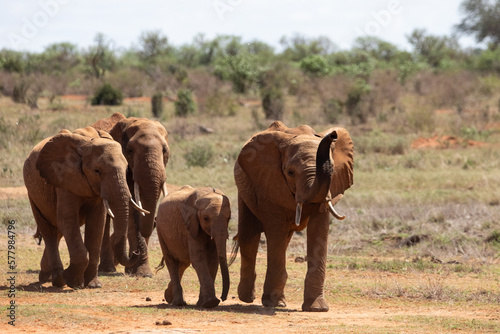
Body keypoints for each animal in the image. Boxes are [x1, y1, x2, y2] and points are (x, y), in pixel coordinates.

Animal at [23, 126, 148, 288]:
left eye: (127, 169)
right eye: (97, 171)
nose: (135, 252)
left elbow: (97, 223)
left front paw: (93, 285)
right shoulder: (64, 179)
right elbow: (68, 219)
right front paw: (74, 282)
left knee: (58, 231)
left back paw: (47, 277)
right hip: (33, 194)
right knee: (49, 231)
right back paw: (58, 280)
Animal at [93, 112, 171, 276]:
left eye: (165, 151)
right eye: (130, 151)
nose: (155, 222)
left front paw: (141, 273)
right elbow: (133, 210)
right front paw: (142, 273)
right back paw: (107, 269)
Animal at [233, 121, 354, 312]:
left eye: (333, 170)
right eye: (290, 173)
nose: (333, 134)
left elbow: (319, 229)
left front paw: (317, 308)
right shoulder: (269, 182)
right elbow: (275, 229)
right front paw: (271, 304)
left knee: (283, 239)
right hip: (245, 188)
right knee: (250, 236)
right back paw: (247, 298)